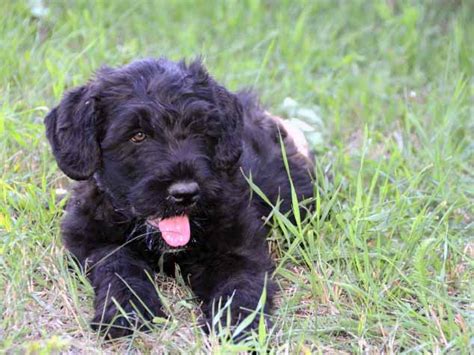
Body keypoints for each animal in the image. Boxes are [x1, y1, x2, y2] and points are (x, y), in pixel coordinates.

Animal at [43, 58, 312, 340]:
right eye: (137, 135)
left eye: (199, 129)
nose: (185, 193)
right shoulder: (94, 241)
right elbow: (119, 268)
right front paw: (126, 313)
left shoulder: (237, 249)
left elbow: (239, 286)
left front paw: (240, 328)